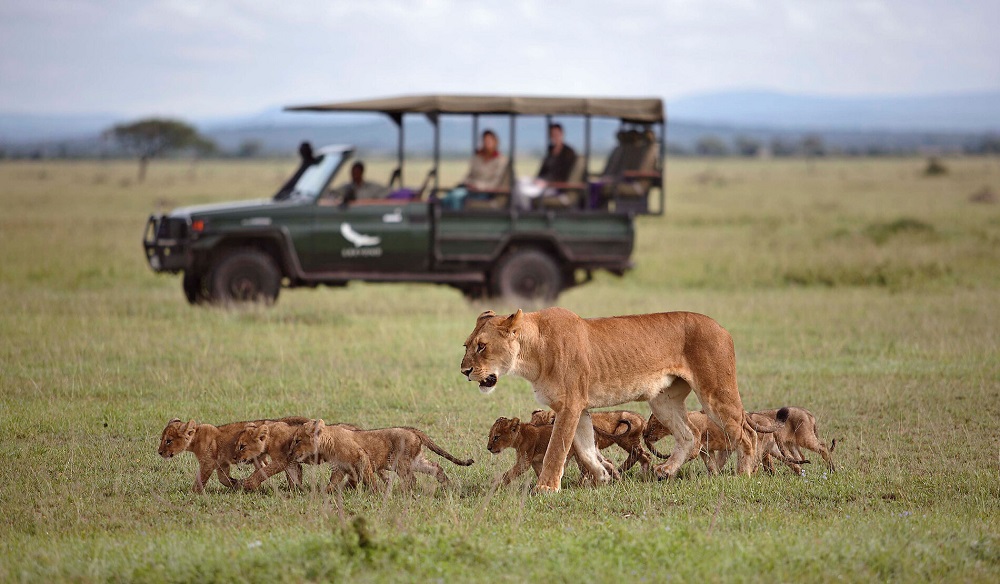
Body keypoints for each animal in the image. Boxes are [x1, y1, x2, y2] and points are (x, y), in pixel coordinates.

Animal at [157, 416, 309, 492]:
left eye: (168, 441)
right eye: (161, 439)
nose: (159, 452)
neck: (195, 439)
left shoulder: (208, 463)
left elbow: (200, 480)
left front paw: (193, 493)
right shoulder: (221, 464)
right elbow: (223, 479)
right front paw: (236, 484)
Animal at [290, 419, 475, 493]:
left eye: (298, 440)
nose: (290, 453)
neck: (327, 443)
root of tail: (412, 430)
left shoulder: (362, 457)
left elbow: (369, 479)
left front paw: (376, 493)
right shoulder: (340, 467)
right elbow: (333, 483)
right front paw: (327, 493)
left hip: (400, 462)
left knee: (411, 479)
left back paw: (402, 492)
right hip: (416, 460)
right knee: (435, 467)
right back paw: (447, 485)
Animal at [462, 307, 756, 491]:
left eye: (482, 346)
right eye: (466, 345)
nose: (464, 371)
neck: (532, 352)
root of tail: (721, 327)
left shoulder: (570, 405)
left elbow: (556, 449)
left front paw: (546, 488)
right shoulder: (579, 408)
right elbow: (585, 448)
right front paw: (603, 477)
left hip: (716, 393)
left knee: (747, 432)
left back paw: (745, 474)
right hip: (663, 400)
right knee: (689, 434)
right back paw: (666, 471)